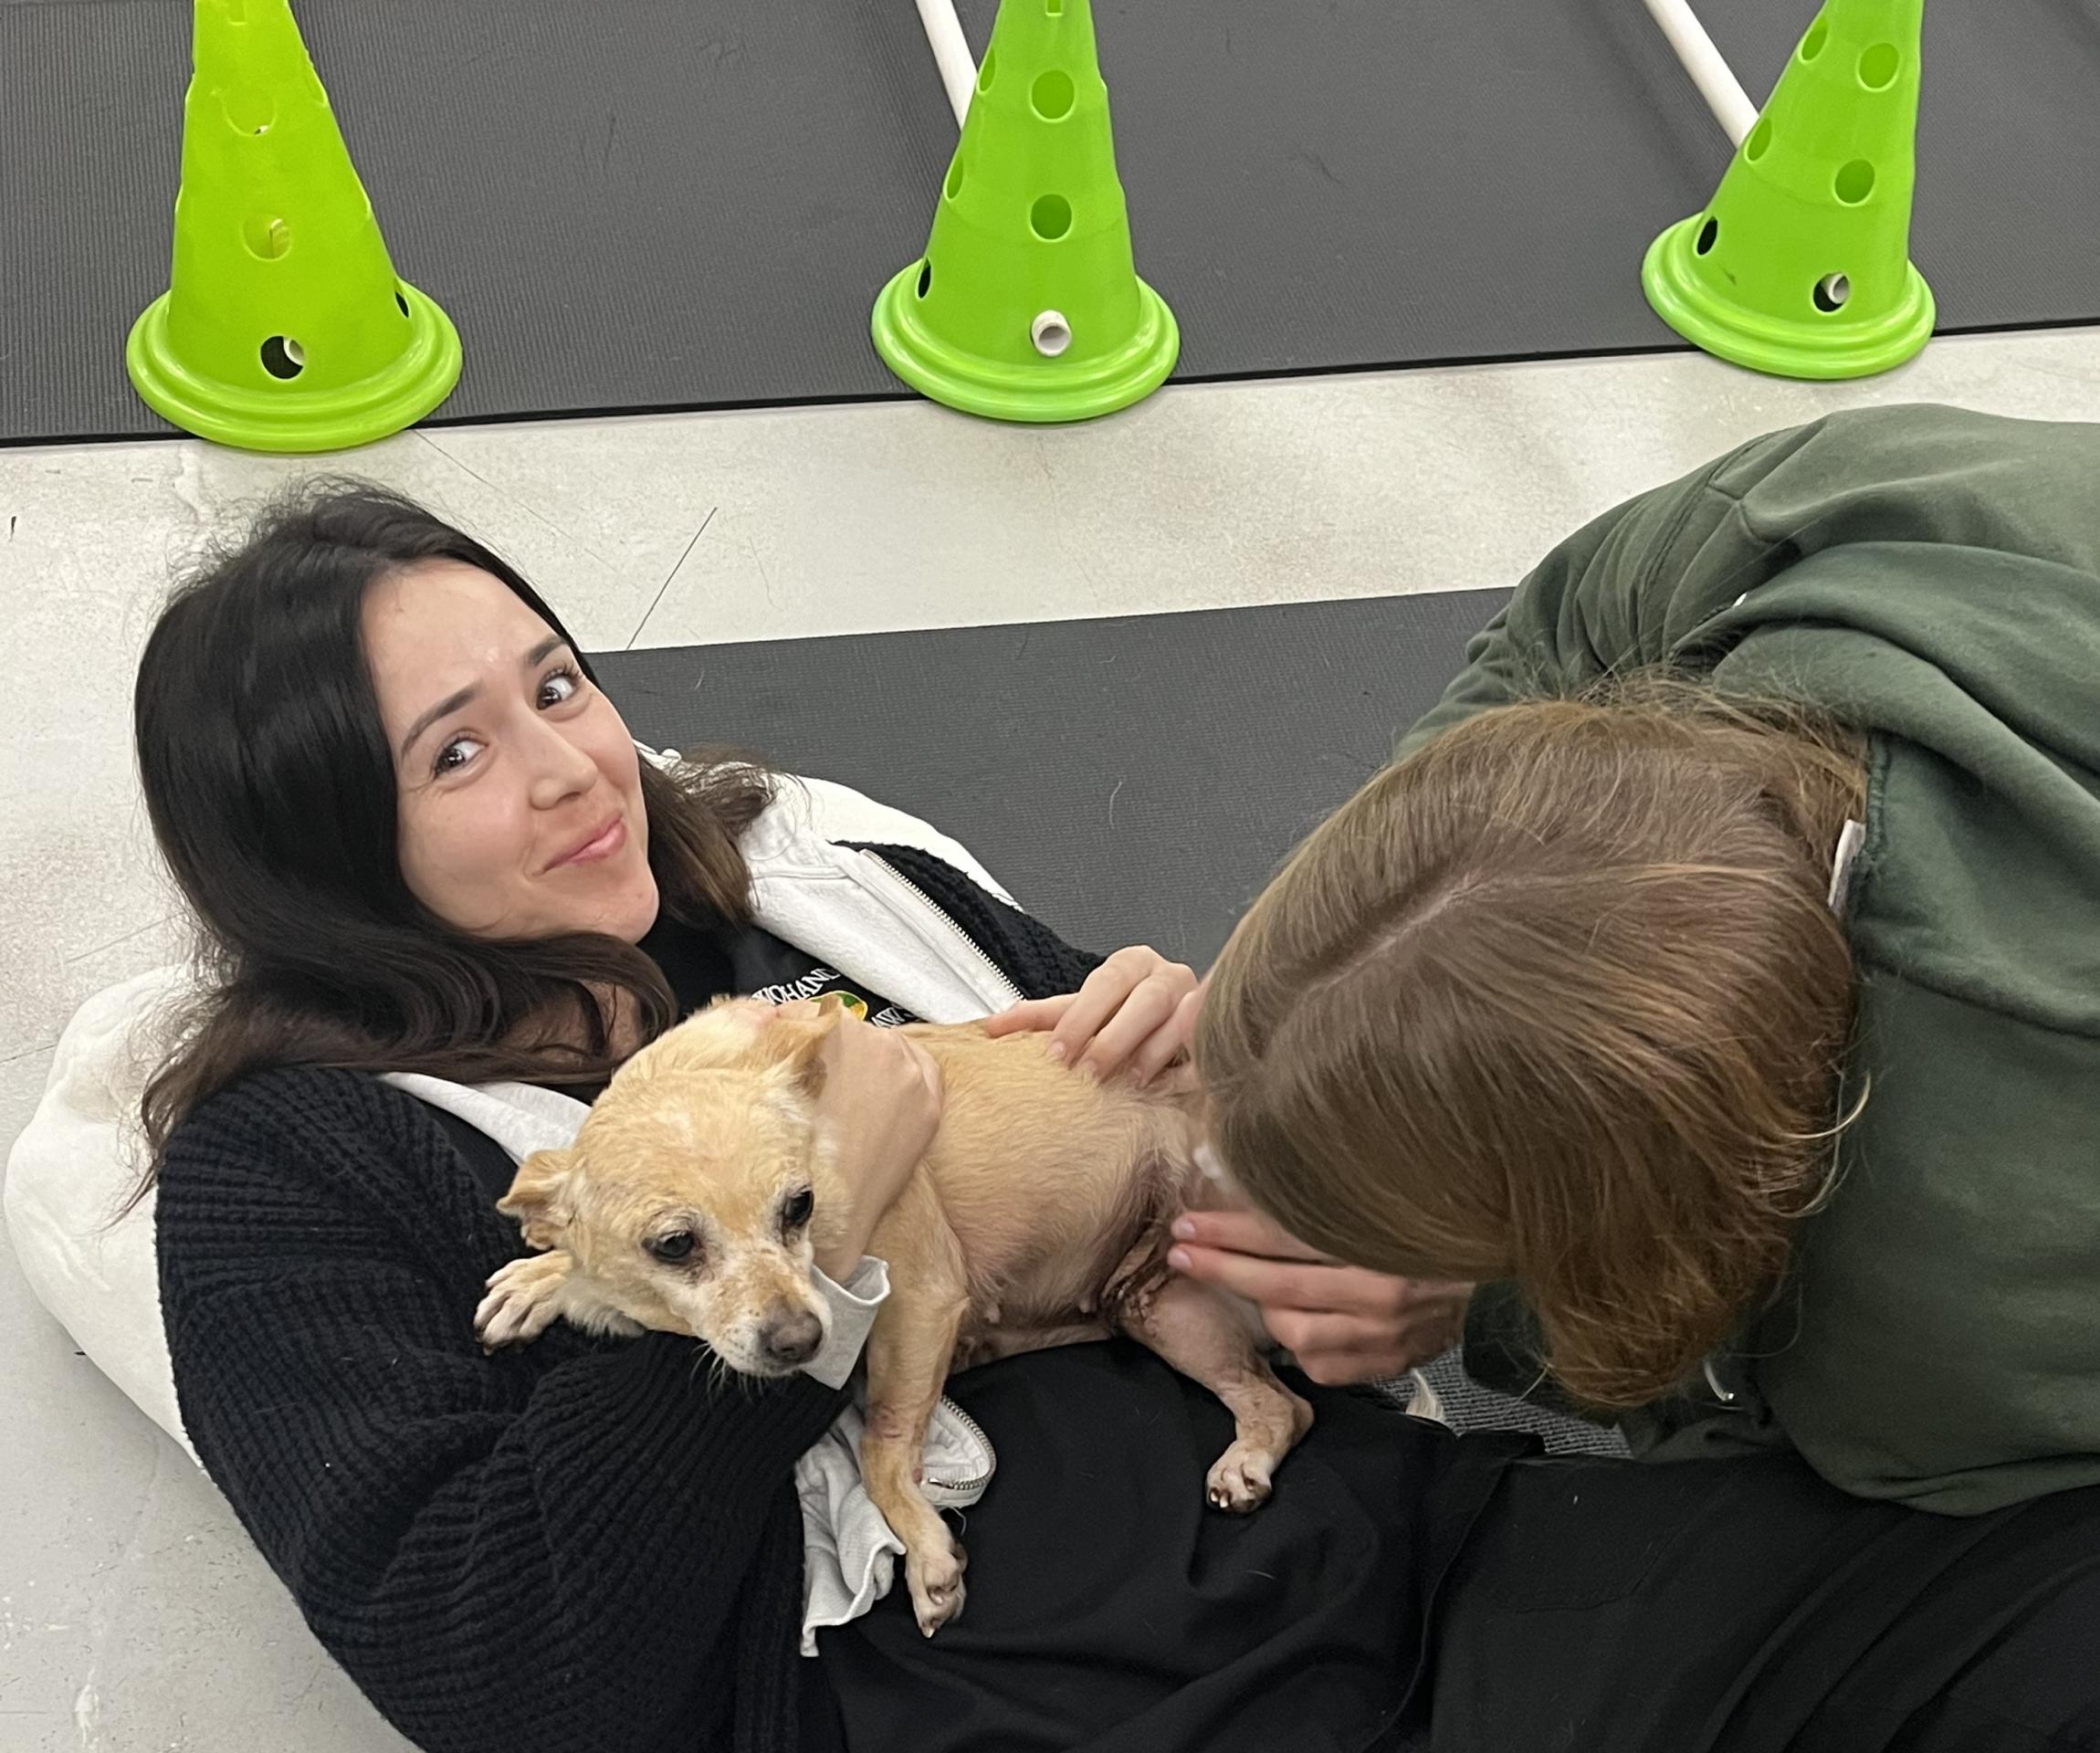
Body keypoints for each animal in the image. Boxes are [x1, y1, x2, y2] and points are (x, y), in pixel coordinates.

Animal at [477, 994, 1310, 1637]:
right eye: (674, 1245)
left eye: (801, 1206)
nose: (805, 1340)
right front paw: (542, 1277)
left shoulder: (922, 1299)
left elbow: (882, 1448)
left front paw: (929, 1557)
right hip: (1163, 1310)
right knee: (1284, 1405)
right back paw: (1248, 1461)